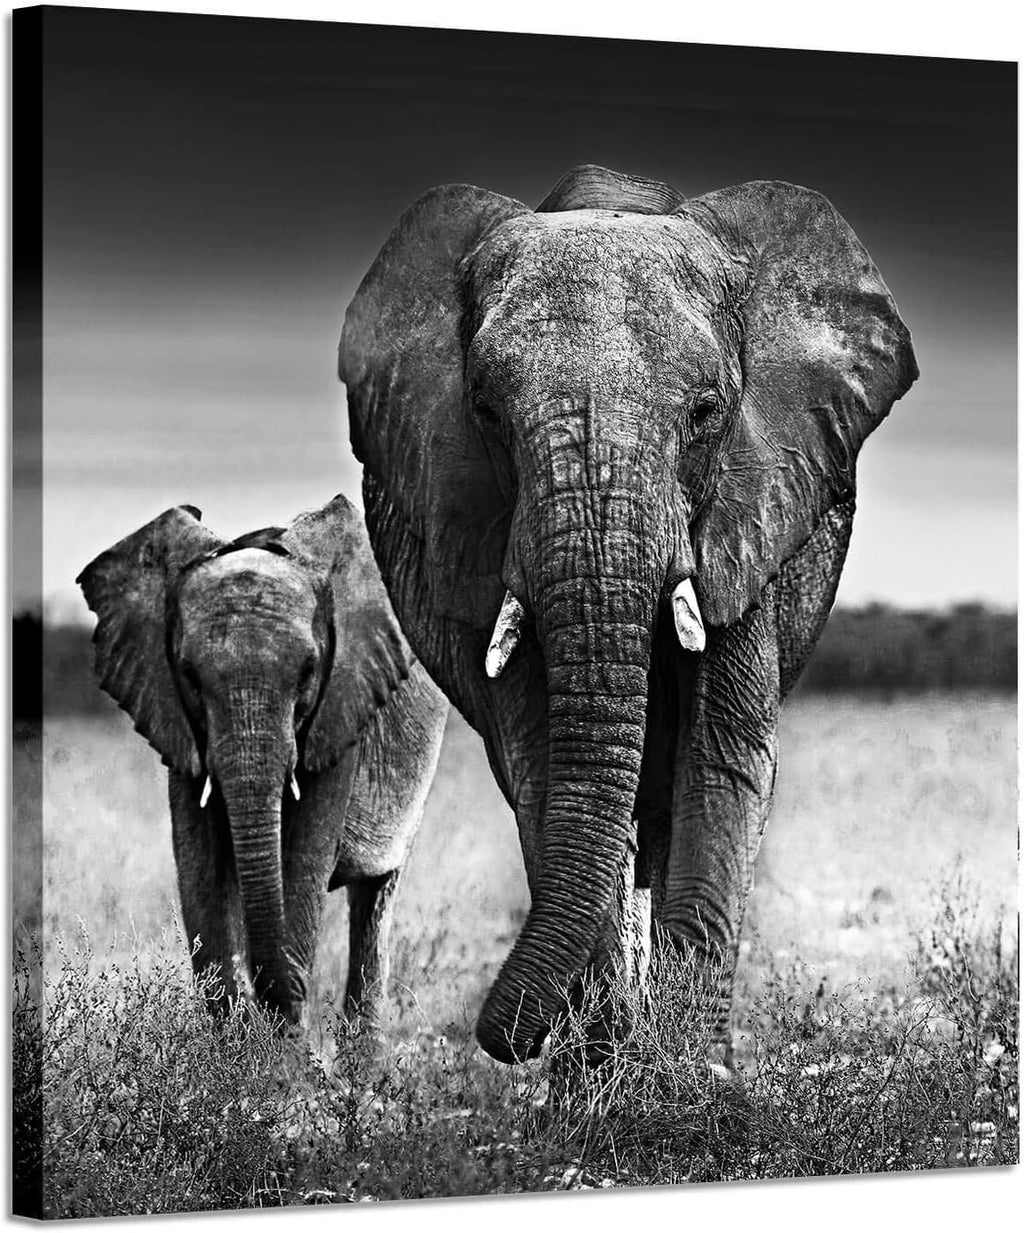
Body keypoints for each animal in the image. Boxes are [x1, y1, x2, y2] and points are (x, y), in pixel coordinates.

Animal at [77, 494, 449, 1028]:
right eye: (189, 675)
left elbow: (302, 864)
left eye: (310, 671)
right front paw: (236, 1044)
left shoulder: (340, 711)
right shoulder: (178, 724)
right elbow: (202, 872)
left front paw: (279, 1048)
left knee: (374, 898)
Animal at [338, 163, 917, 1065]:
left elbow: (722, 758)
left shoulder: (750, 508)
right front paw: (603, 1073)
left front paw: (683, 1077)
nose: (500, 1038)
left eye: (706, 412)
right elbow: (543, 764)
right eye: (487, 412)